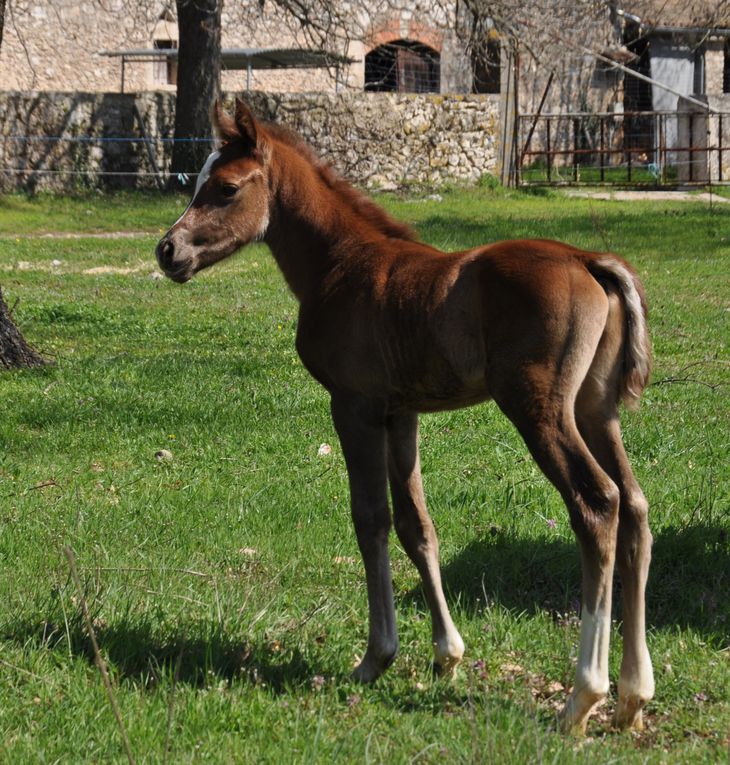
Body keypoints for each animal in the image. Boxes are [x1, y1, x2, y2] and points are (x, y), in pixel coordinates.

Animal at [155, 98, 656, 732]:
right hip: (596, 410)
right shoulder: (403, 414)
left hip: (540, 410)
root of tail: (590, 261)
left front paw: (377, 657)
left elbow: (370, 520)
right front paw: (447, 656)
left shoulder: (355, 406)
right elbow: (418, 526)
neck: (339, 263)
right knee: (635, 506)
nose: (167, 251)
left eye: (224, 188)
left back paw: (583, 696)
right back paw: (633, 695)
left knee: (597, 504)